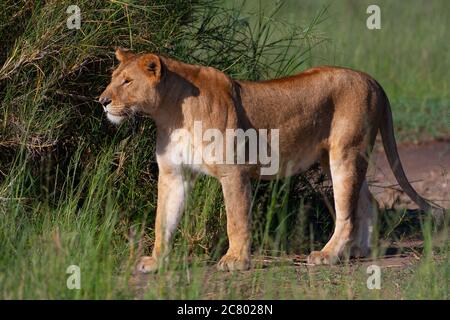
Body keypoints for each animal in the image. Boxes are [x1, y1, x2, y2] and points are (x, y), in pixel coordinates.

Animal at [99, 48, 442, 272]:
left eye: (127, 82)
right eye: (114, 78)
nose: (102, 100)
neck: (170, 114)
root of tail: (372, 80)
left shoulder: (233, 171)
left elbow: (236, 219)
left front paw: (236, 260)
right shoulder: (173, 174)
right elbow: (163, 220)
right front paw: (156, 261)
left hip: (345, 153)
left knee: (346, 213)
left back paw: (328, 255)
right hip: (334, 158)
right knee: (367, 200)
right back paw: (359, 250)